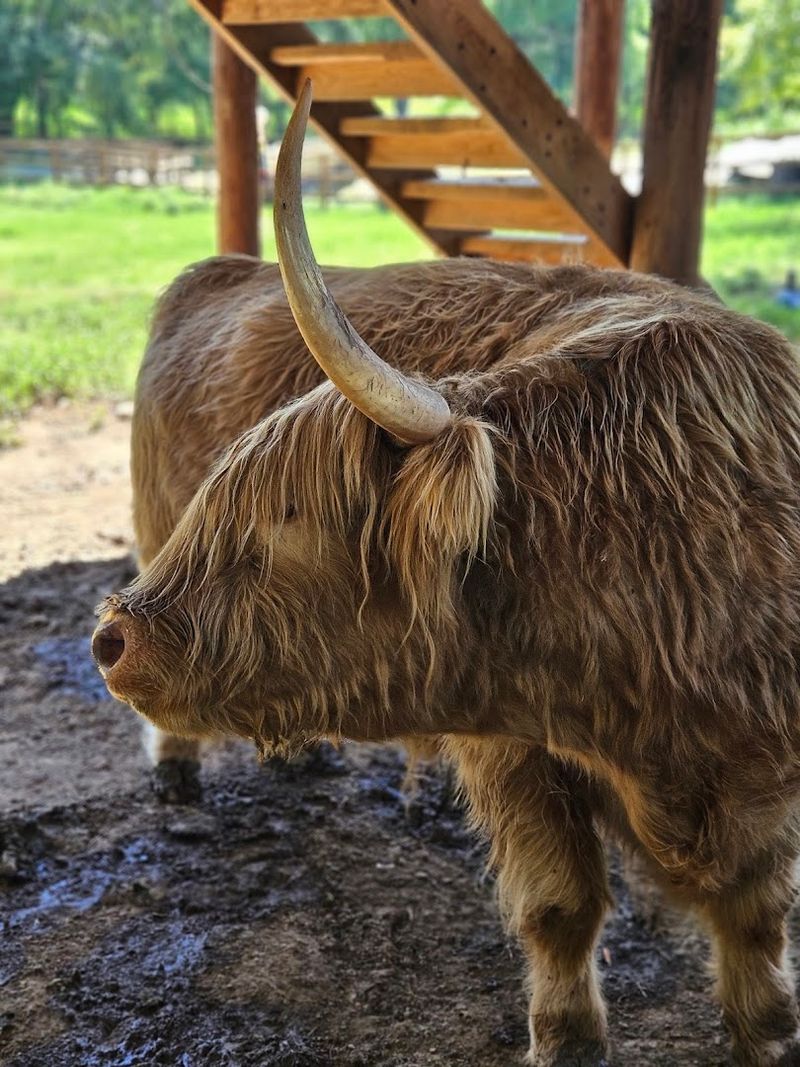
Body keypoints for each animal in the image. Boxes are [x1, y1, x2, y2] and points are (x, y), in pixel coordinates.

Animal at [93, 82, 800, 1065]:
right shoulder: (511, 746)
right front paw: (566, 1038)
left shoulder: (767, 777)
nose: (113, 640)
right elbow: (562, 905)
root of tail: (218, 271)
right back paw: (175, 772)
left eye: (286, 517)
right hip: (148, 527)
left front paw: (763, 1033)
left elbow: (758, 914)